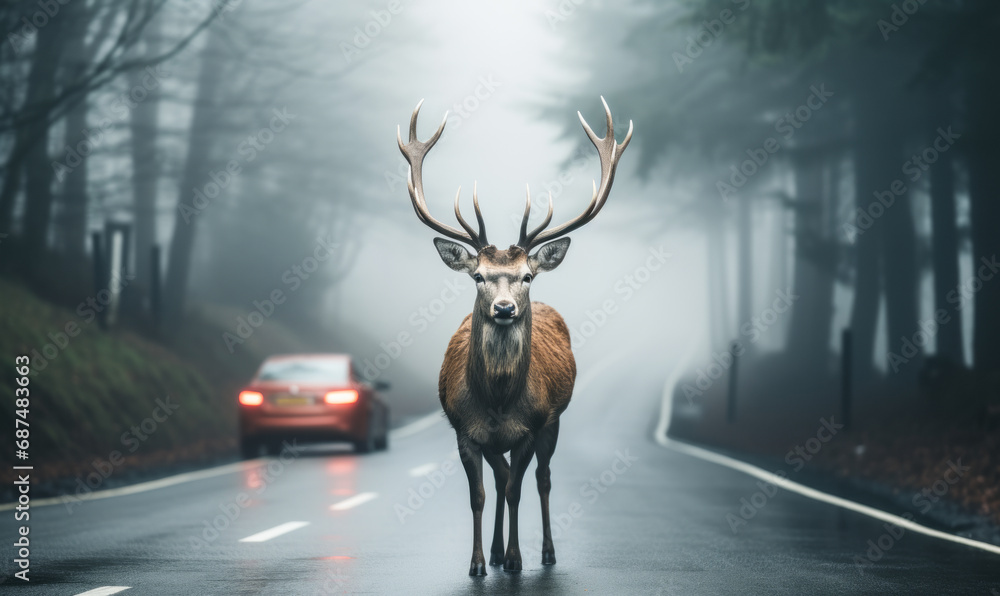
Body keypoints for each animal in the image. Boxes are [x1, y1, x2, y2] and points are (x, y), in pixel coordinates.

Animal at [397, 97, 632, 576]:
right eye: (478, 277)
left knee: (541, 479)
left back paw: (545, 552)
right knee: (502, 477)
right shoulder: (465, 430)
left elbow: (518, 489)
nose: (504, 308)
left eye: (527, 275)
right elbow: (481, 493)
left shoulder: (531, 426)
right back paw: (497, 551)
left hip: (554, 422)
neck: (499, 401)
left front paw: (517, 559)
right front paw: (478, 563)